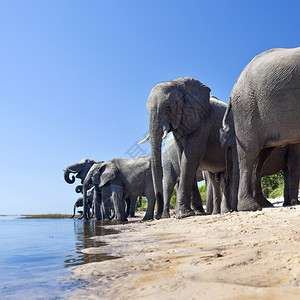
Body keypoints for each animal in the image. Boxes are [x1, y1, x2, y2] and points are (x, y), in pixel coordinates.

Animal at [141, 77, 239, 218]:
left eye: (168, 106)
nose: (156, 216)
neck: (178, 83)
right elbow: (184, 158)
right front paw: (193, 212)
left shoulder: (203, 123)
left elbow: (190, 157)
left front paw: (185, 214)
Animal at [223, 47, 300, 211]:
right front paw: (294, 203)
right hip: (247, 110)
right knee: (248, 154)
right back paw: (250, 207)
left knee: (259, 158)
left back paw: (263, 204)